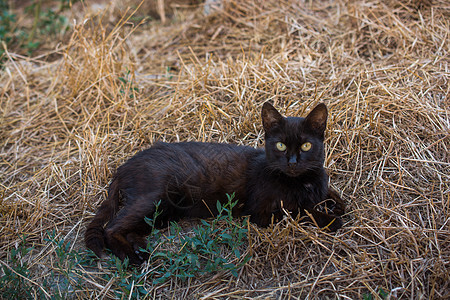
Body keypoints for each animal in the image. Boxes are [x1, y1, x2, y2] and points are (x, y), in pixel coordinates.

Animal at [84, 102, 344, 264]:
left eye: (306, 146)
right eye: (280, 145)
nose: (292, 162)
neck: (302, 181)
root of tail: (123, 167)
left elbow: (331, 196)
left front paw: (334, 202)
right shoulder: (262, 212)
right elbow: (300, 212)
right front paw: (329, 219)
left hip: (162, 213)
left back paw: (139, 247)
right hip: (154, 198)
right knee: (112, 227)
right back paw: (132, 257)